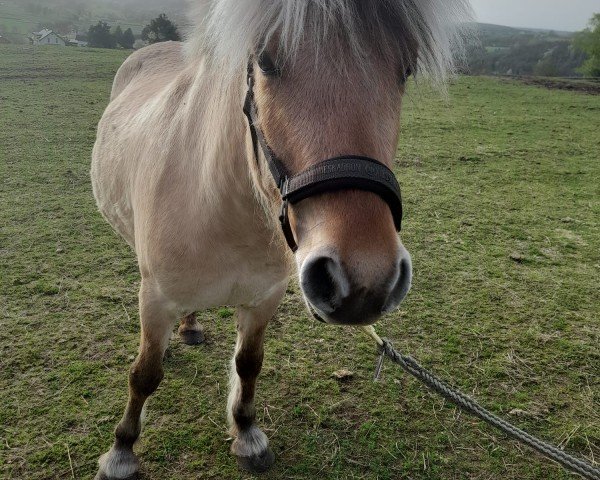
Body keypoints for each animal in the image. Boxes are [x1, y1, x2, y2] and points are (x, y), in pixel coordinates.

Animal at [91, 1, 472, 478]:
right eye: (267, 61)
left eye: (405, 69)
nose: (365, 281)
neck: (225, 214)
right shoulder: (156, 298)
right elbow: (144, 374)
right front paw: (122, 451)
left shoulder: (264, 299)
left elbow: (248, 364)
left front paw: (247, 434)